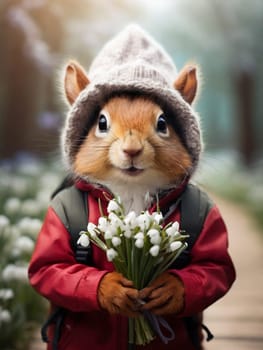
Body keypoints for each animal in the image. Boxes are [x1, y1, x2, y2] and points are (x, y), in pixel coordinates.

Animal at [28, 25, 235, 350]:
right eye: (101, 122)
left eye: (163, 122)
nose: (132, 149)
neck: (132, 190)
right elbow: (50, 267)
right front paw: (113, 290)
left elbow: (215, 267)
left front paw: (170, 290)